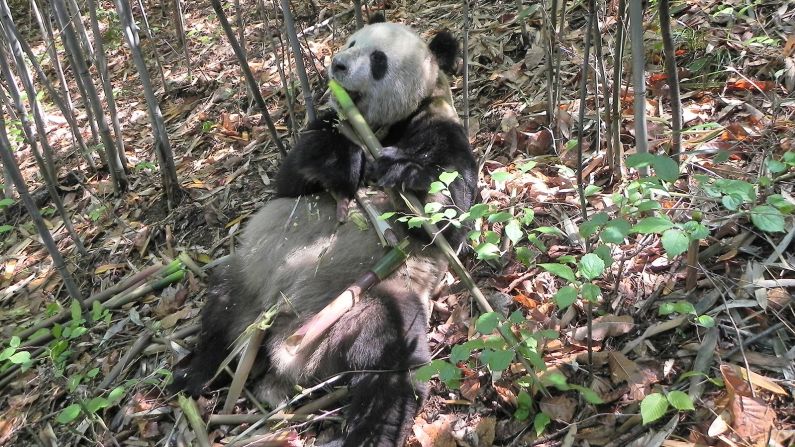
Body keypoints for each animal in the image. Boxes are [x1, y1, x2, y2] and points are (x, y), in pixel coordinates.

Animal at [170, 15, 476, 446]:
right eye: (351, 42)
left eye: (379, 60)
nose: (338, 65)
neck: (377, 127)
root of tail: (285, 343)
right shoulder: (328, 127)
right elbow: (292, 180)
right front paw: (343, 164)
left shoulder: (439, 127)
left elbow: (450, 213)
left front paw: (404, 169)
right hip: (252, 276)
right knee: (219, 313)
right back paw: (196, 373)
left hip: (364, 303)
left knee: (391, 359)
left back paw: (371, 432)